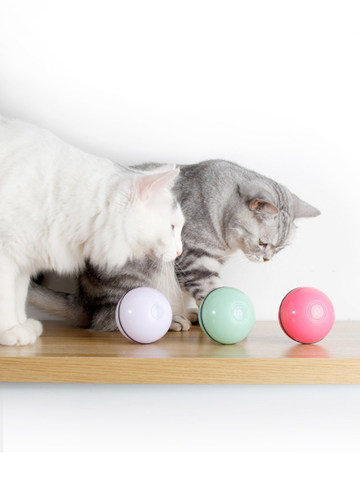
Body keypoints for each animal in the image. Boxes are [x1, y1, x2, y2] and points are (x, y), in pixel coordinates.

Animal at [0, 118, 184, 346]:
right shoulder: (6, 254)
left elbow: (18, 296)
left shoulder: (24, 258)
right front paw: (10, 329)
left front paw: (21, 324)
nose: (180, 251)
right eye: (172, 227)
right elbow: (6, 297)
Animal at [28, 159, 320, 332]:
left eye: (279, 249)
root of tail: (86, 301)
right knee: (113, 320)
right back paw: (173, 321)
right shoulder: (196, 259)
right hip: (135, 277)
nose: (267, 259)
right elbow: (212, 291)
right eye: (263, 243)